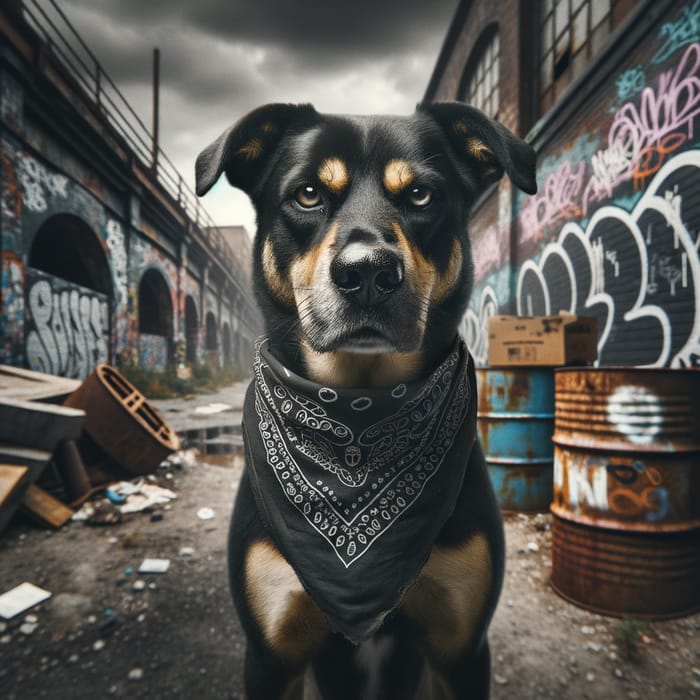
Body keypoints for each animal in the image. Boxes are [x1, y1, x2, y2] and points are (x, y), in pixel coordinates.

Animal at [196, 100, 536, 700]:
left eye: (420, 195)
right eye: (308, 194)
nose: (368, 273)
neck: (359, 406)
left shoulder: (462, 649)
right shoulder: (272, 655)